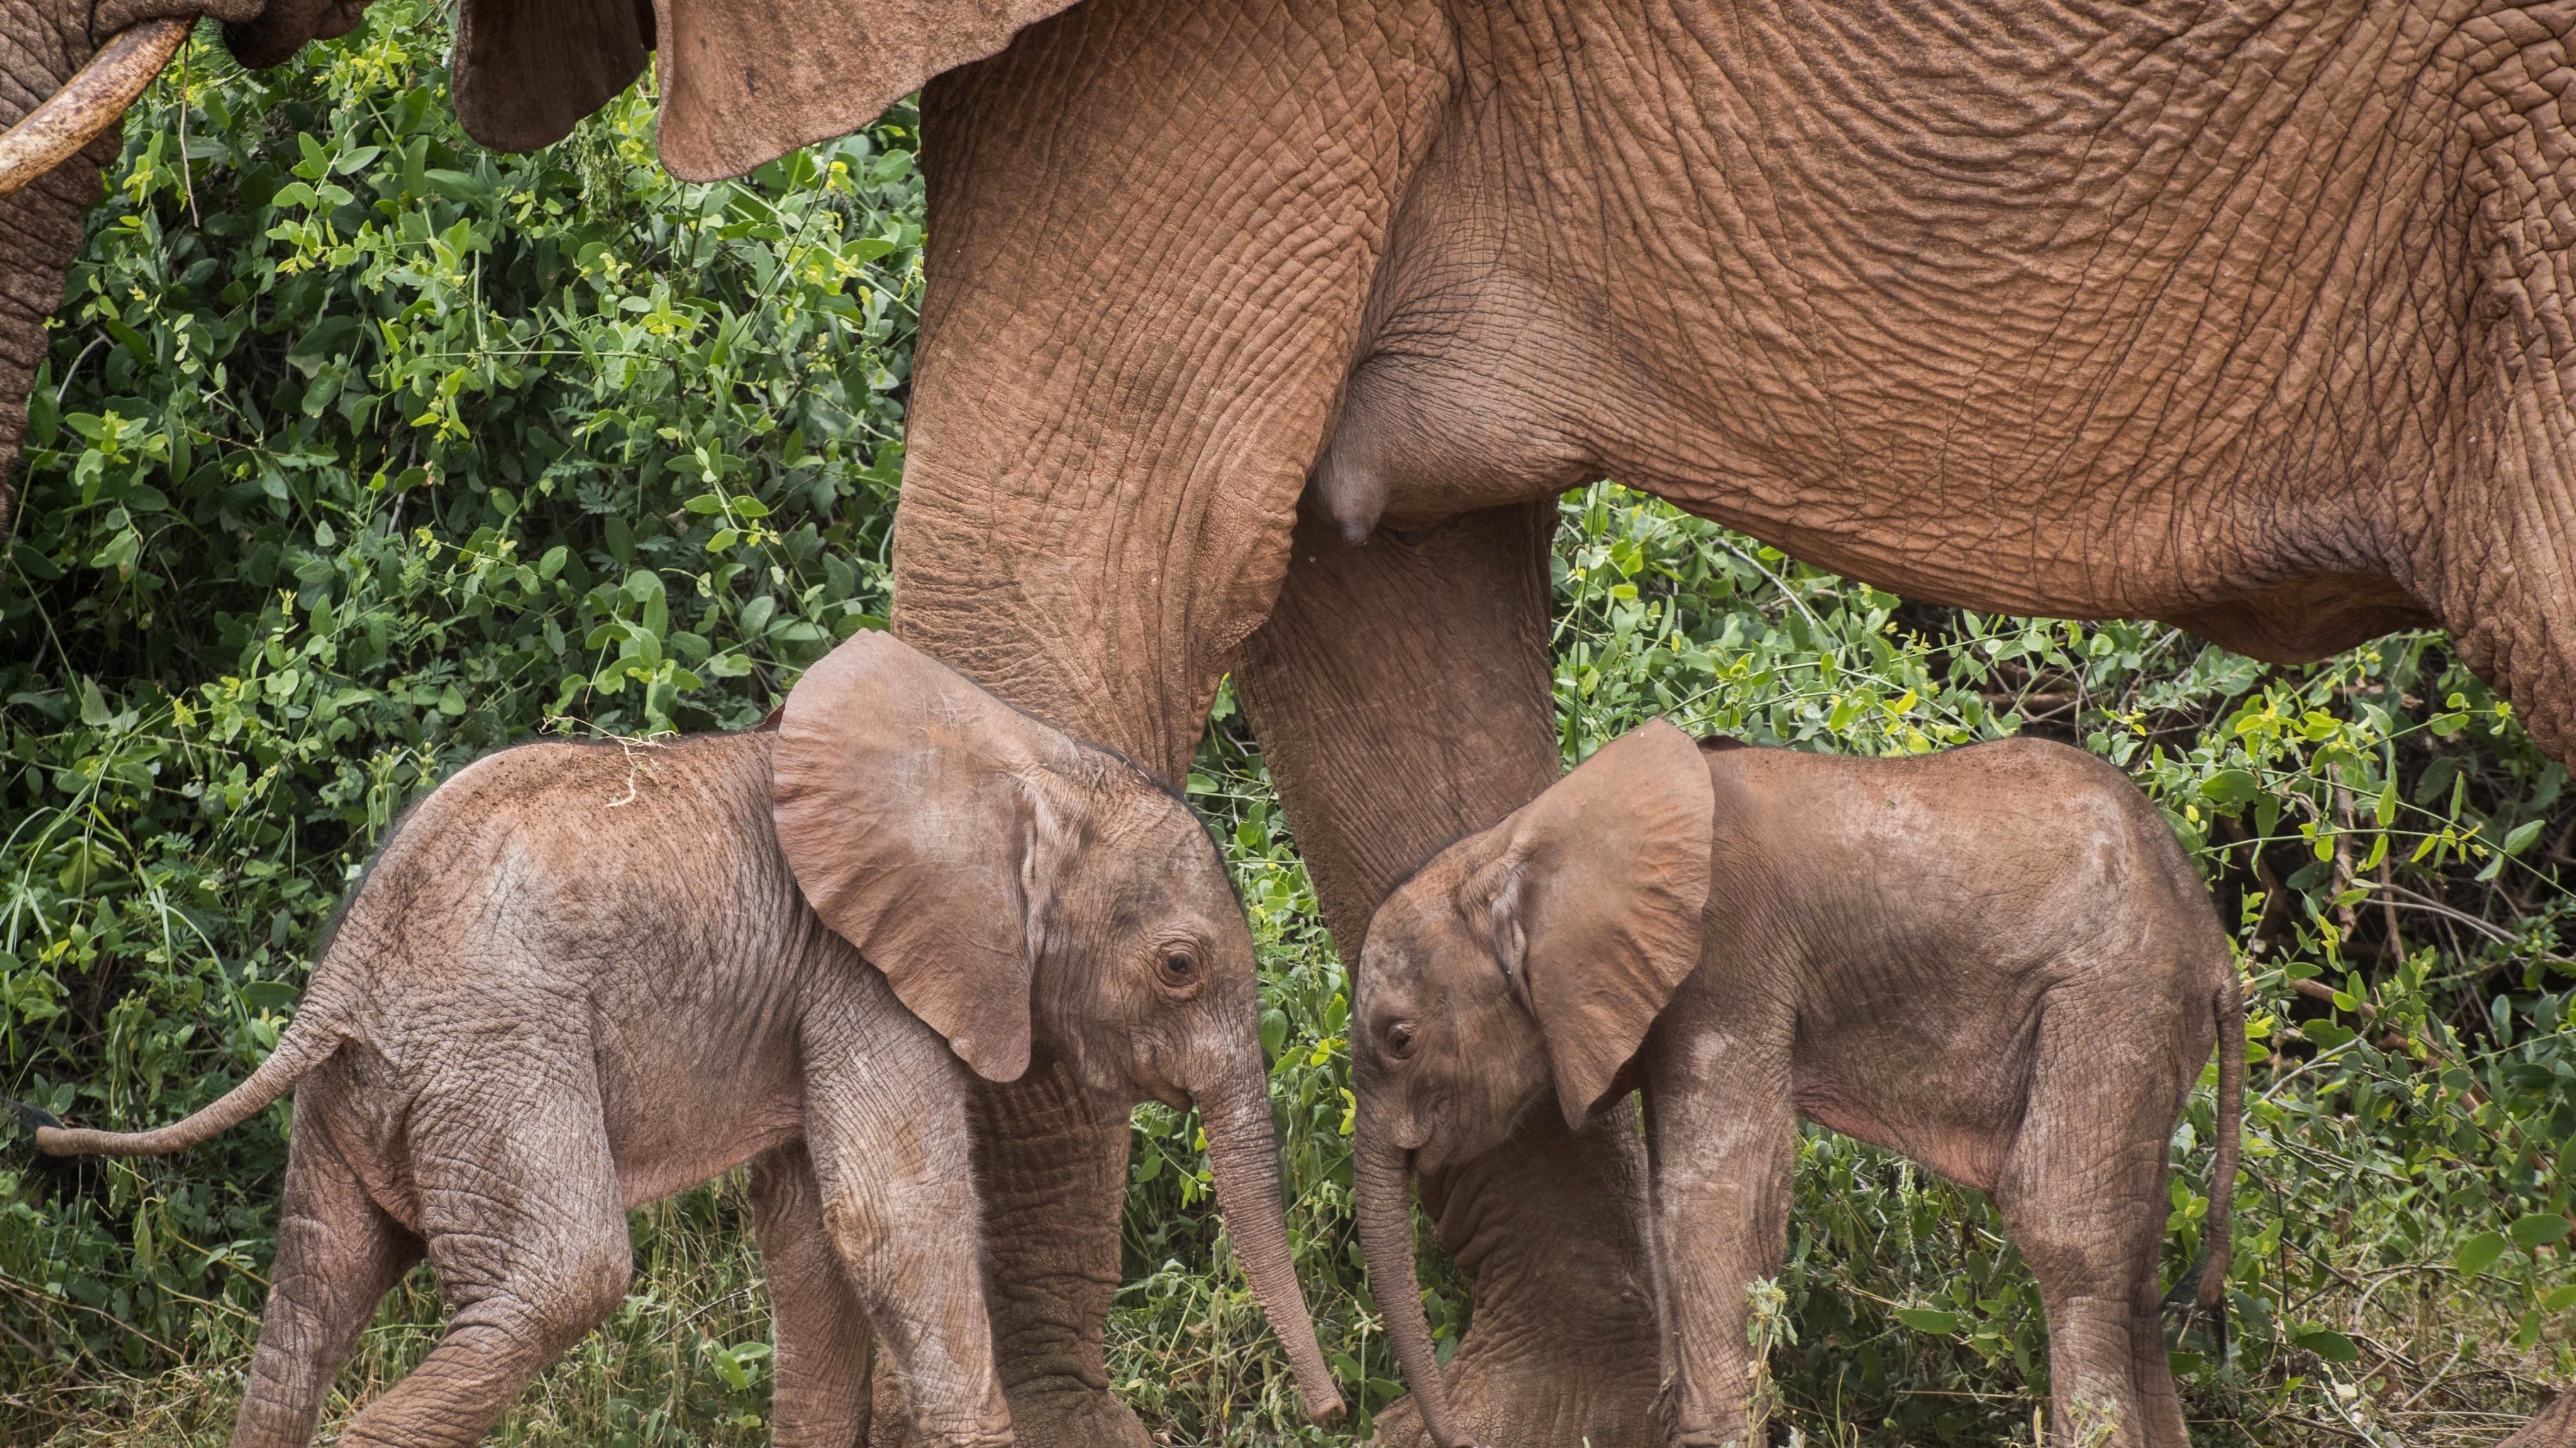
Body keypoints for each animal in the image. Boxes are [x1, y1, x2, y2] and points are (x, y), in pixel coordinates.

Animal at [30, 631, 1339, 1442]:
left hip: (378, 1083)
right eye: (1180, 966)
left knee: (310, 1296)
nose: (1331, 1412)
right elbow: (892, 1221)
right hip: (495, 1052)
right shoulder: (859, 974)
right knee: (560, 1278)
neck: (1018, 762)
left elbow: (813, 1242)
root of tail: (340, 978)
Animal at [1360, 721, 2246, 1442]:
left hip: (2112, 995)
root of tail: (2215, 945)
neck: (1518, 839)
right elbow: (1668, 1196)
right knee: (2136, 1258)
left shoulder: (1727, 959)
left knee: (2066, 1229)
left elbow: (1717, 1200)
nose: (1428, 1430)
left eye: (1398, 1038)